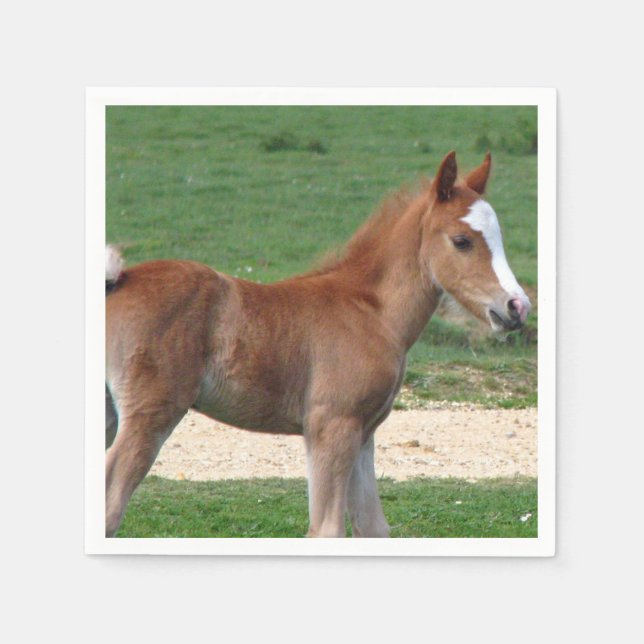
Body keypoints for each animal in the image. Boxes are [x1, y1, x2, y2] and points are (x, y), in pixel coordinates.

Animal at [104, 151, 531, 538]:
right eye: (462, 240)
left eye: (499, 238)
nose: (518, 306)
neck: (371, 311)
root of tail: (118, 281)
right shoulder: (332, 427)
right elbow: (327, 529)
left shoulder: (363, 434)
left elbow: (372, 527)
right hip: (152, 413)